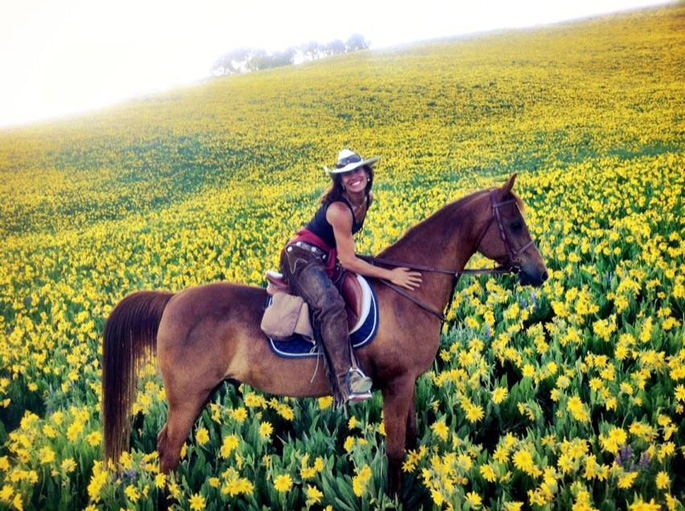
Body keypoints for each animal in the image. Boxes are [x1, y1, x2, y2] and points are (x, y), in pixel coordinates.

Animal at [101, 175, 548, 496]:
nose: (540, 273)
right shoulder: (397, 383)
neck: (408, 291)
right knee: (167, 452)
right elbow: (396, 449)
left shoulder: (408, 383)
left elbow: (412, 439)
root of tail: (173, 300)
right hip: (187, 397)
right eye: (514, 222)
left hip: (198, 395)